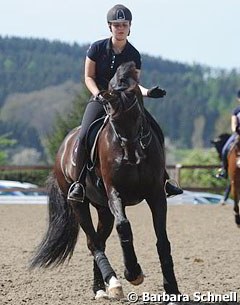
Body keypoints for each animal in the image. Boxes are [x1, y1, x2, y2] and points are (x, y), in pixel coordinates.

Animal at [30, 61, 180, 300]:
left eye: (138, 115)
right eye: (114, 120)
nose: (132, 157)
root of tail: (63, 147)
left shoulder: (156, 193)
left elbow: (163, 241)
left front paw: (172, 290)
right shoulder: (114, 192)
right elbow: (124, 226)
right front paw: (133, 273)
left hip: (103, 209)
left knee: (99, 240)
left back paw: (101, 288)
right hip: (78, 204)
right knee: (94, 243)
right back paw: (113, 282)